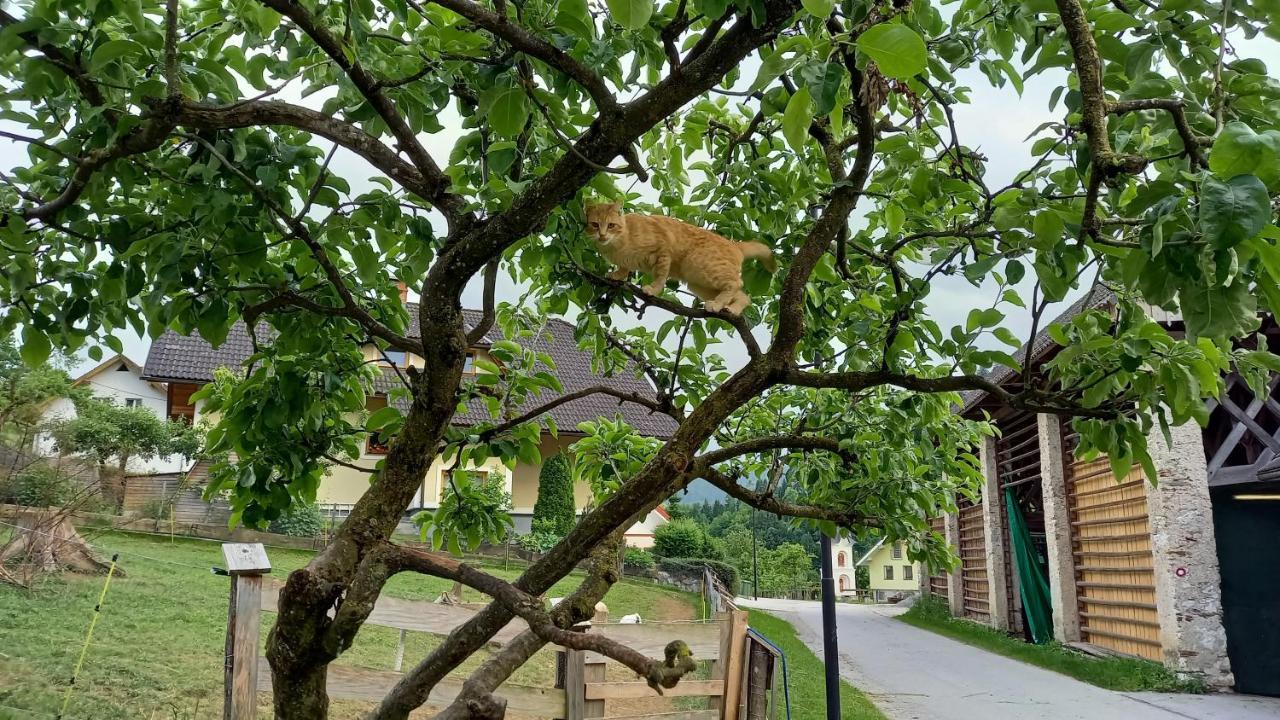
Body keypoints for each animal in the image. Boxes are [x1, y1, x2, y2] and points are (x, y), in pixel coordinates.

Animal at [586, 202, 773, 313]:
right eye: (595, 225)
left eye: (611, 225)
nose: (602, 235)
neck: (617, 245)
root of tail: (735, 244)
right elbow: (624, 268)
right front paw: (617, 274)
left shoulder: (663, 251)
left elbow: (660, 276)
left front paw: (652, 289)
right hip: (699, 283)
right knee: (744, 296)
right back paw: (732, 309)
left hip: (703, 266)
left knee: (736, 283)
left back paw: (716, 305)